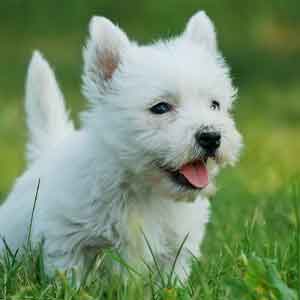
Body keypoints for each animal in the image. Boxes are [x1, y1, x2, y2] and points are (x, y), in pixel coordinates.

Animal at [0, 11, 241, 282]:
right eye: (160, 107)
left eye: (214, 104)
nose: (211, 136)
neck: (143, 191)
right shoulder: (66, 240)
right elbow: (71, 277)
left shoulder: (176, 250)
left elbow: (170, 280)